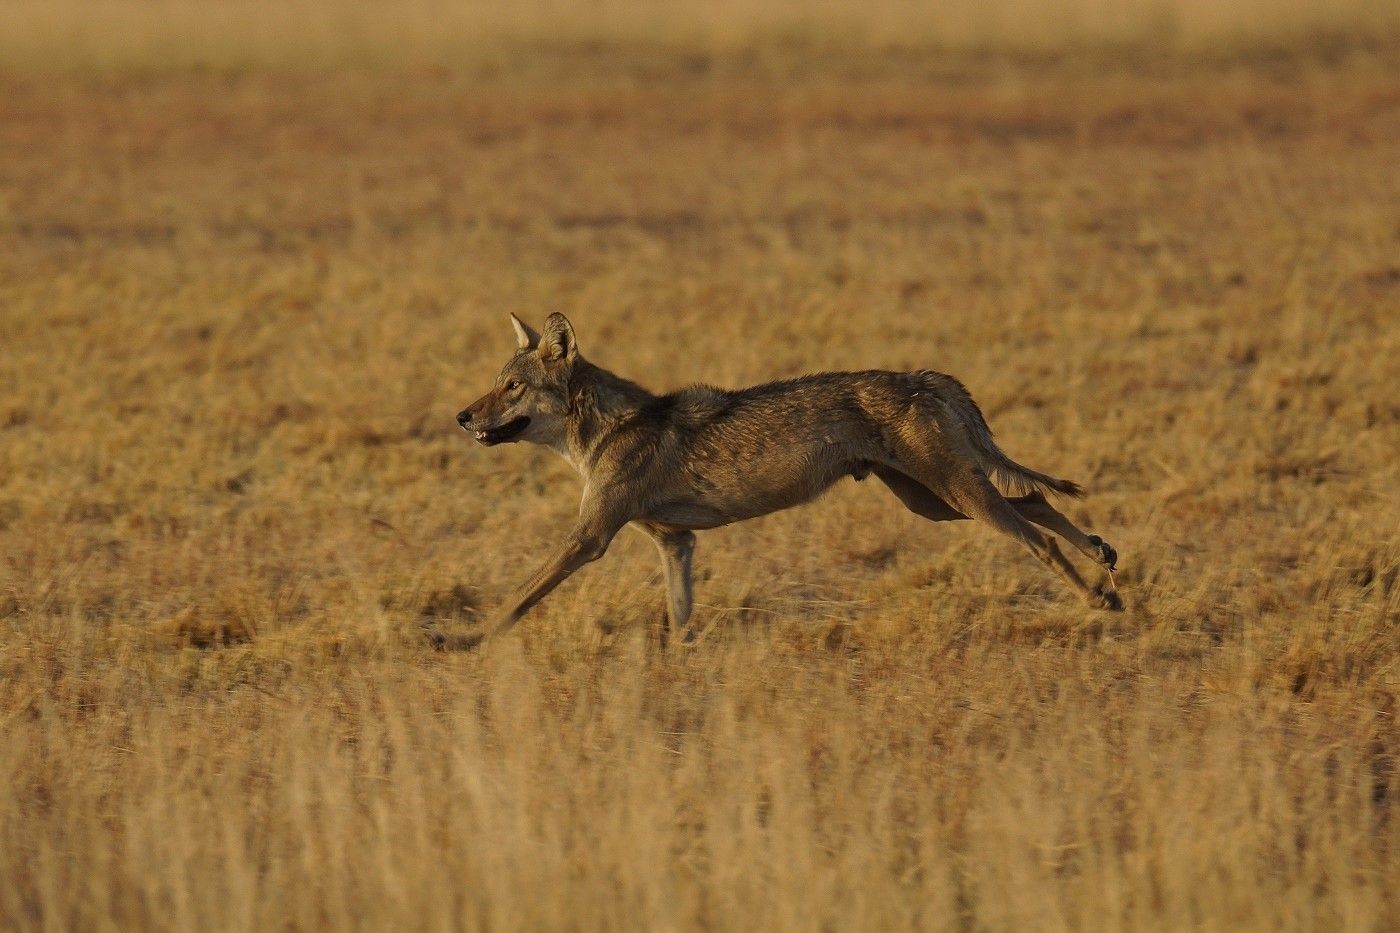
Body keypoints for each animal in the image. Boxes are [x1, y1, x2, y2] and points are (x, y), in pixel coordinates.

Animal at [431, 312, 1120, 647]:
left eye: (511, 387)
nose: (461, 416)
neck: (600, 430)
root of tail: (926, 375)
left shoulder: (589, 539)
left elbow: (516, 599)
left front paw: (464, 641)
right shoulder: (675, 543)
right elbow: (679, 617)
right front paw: (683, 666)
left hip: (955, 495)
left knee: (1038, 534)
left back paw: (1096, 598)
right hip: (935, 501)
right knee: (1036, 497)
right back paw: (1104, 560)